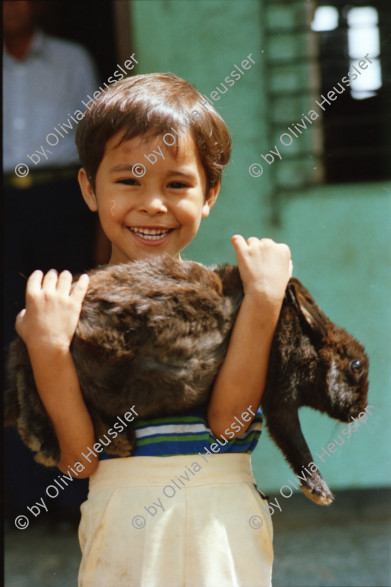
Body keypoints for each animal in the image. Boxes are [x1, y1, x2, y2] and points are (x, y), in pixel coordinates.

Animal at [5, 256, 370, 506]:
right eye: (356, 365)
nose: (362, 411)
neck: (302, 337)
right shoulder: (280, 392)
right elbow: (293, 439)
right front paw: (321, 493)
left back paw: (113, 441)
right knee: (33, 371)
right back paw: (46, 443)